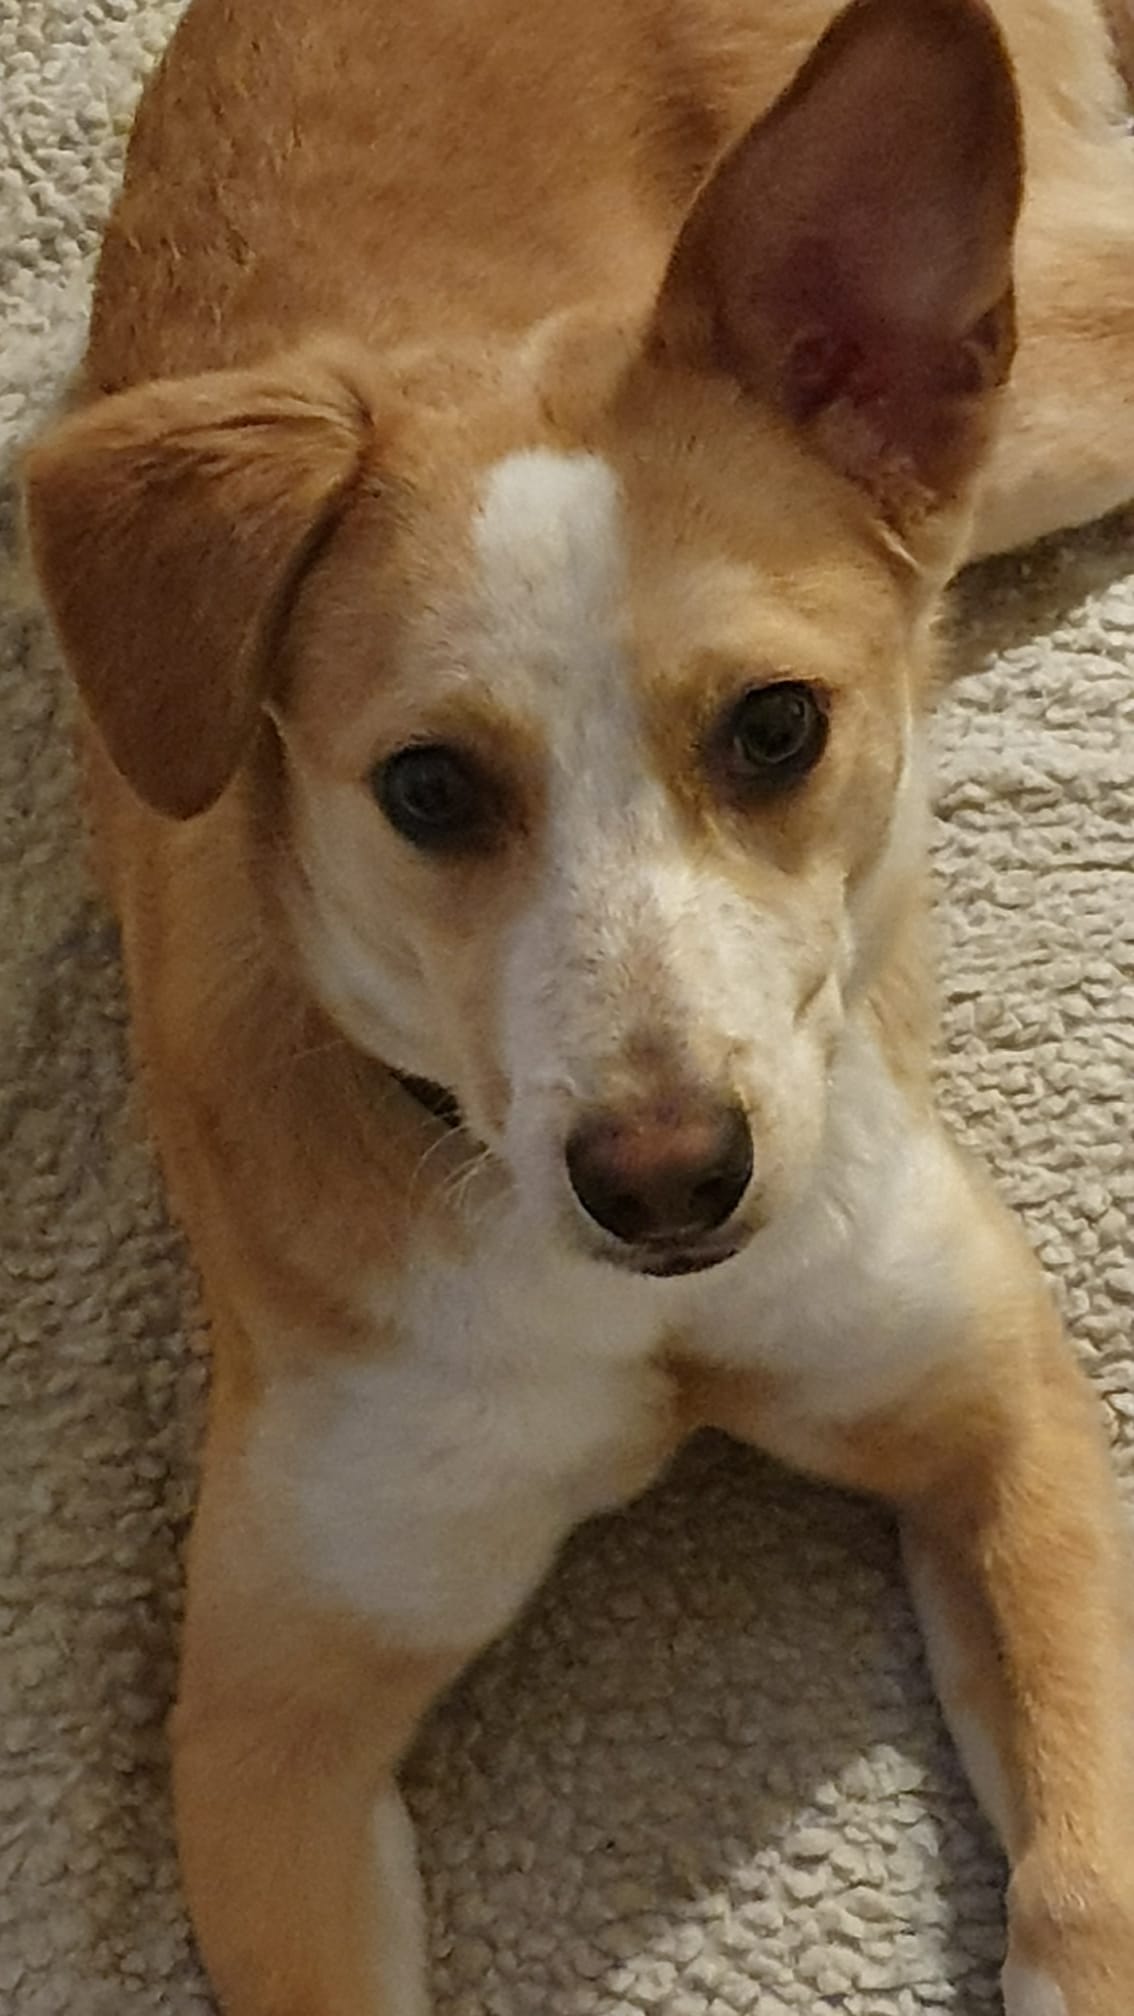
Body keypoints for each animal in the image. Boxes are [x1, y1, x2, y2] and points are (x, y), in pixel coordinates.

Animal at [22, 0, 1134, 2009]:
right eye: (426, 789)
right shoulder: (267, 1731)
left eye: (774, 727)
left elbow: (1083, 1888)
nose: (667, 1177)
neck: (637, 1317)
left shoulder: (1001, 1420)